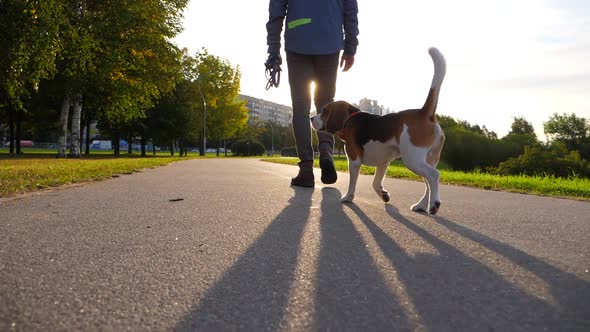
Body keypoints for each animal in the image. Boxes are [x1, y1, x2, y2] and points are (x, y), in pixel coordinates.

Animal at [312, 47, 446, 215]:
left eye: (324, 112)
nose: (311, 118)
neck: (350, 118)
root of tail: (424, 113)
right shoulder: (383, 163)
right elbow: (375, 183)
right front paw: (384, 195)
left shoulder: (354, 161)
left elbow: (352, 183)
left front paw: (348, 197)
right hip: (427, 160)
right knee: (429, 183)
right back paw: (421, 205)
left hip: (413, 159)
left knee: (434, 176)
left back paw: (434, 204)